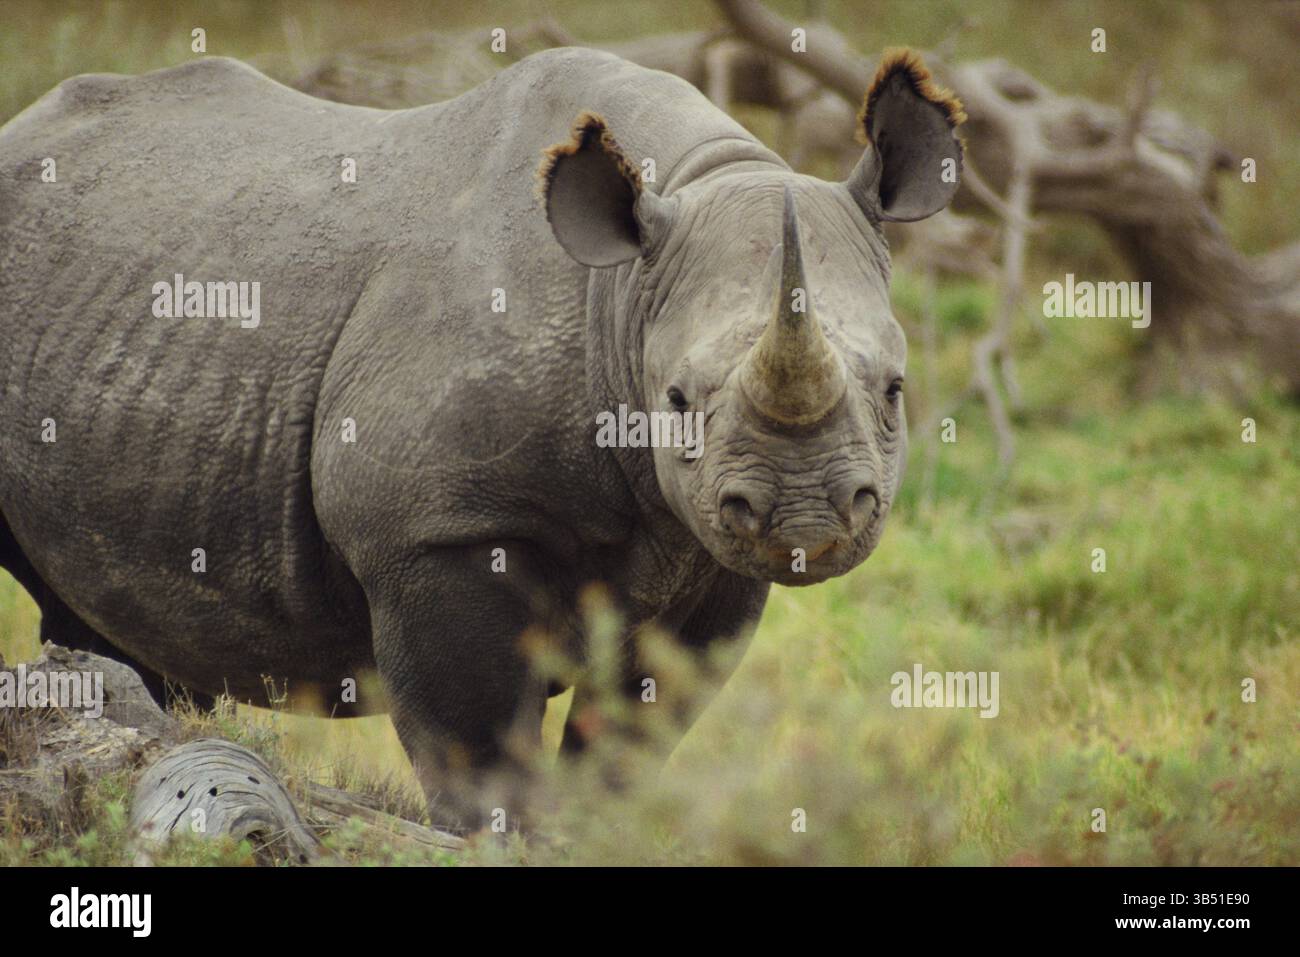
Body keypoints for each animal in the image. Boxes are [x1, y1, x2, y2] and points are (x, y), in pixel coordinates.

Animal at [0, 47, 963, 829]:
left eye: (894, 389)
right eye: (677, 399)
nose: (807, 521)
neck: (622, 296)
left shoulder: (708, 557)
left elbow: (626, 748)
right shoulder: (436, 530)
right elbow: (482, 757)